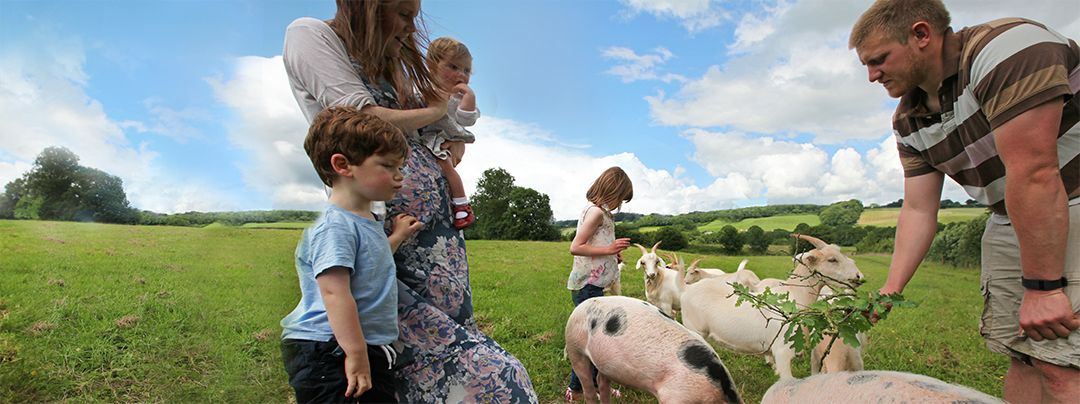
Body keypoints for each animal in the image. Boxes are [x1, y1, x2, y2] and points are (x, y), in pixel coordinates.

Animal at [678, 235, 864, 380]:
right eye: (832, 259)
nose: (858, 276)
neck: (795, 295)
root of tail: (686, 289)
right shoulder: (782, 352)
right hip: (694, 329)